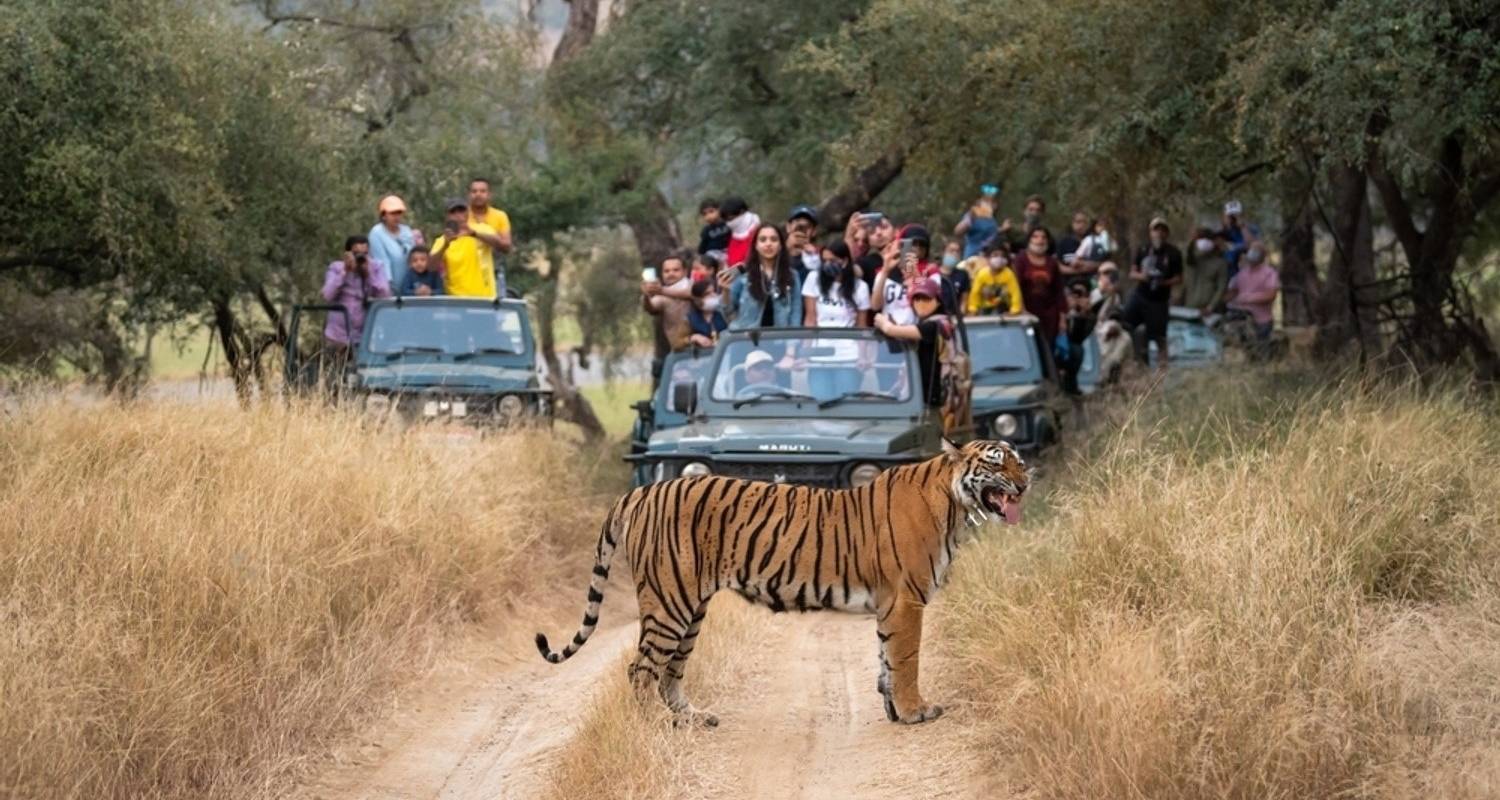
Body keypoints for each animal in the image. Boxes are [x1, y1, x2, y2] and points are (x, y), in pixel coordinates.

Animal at [534, 435, 1026, 723]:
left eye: (1019, 462)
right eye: (996, 465)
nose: (1025, 484)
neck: (955, 504)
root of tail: (641, 490)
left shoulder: (891, 605)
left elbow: (886, 659)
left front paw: (893, 709)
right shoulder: (906, 600)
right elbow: (906, 661)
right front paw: (915, 712)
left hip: (689, 610)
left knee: (669, 671)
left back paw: (692, 720)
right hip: (668, 603)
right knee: (640, 670)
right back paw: (652, 728)